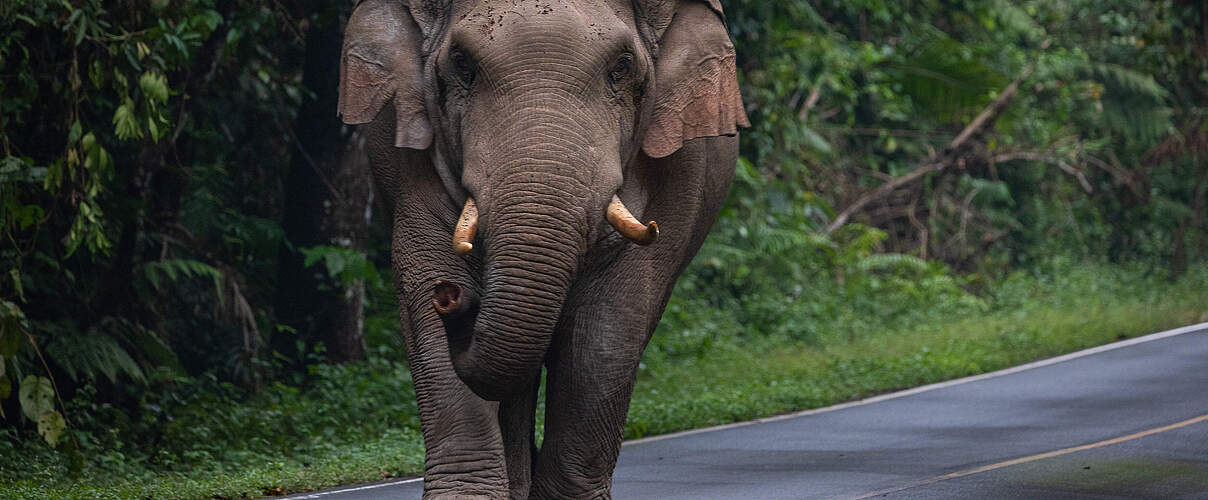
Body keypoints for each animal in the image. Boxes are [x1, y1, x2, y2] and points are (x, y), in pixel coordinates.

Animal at [337, 0, 747, 497]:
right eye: (462, 64)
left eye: (622, 67)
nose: (453, 298)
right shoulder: (411, 158)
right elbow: (424, 301)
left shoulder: (676, 169)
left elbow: (608, 328)